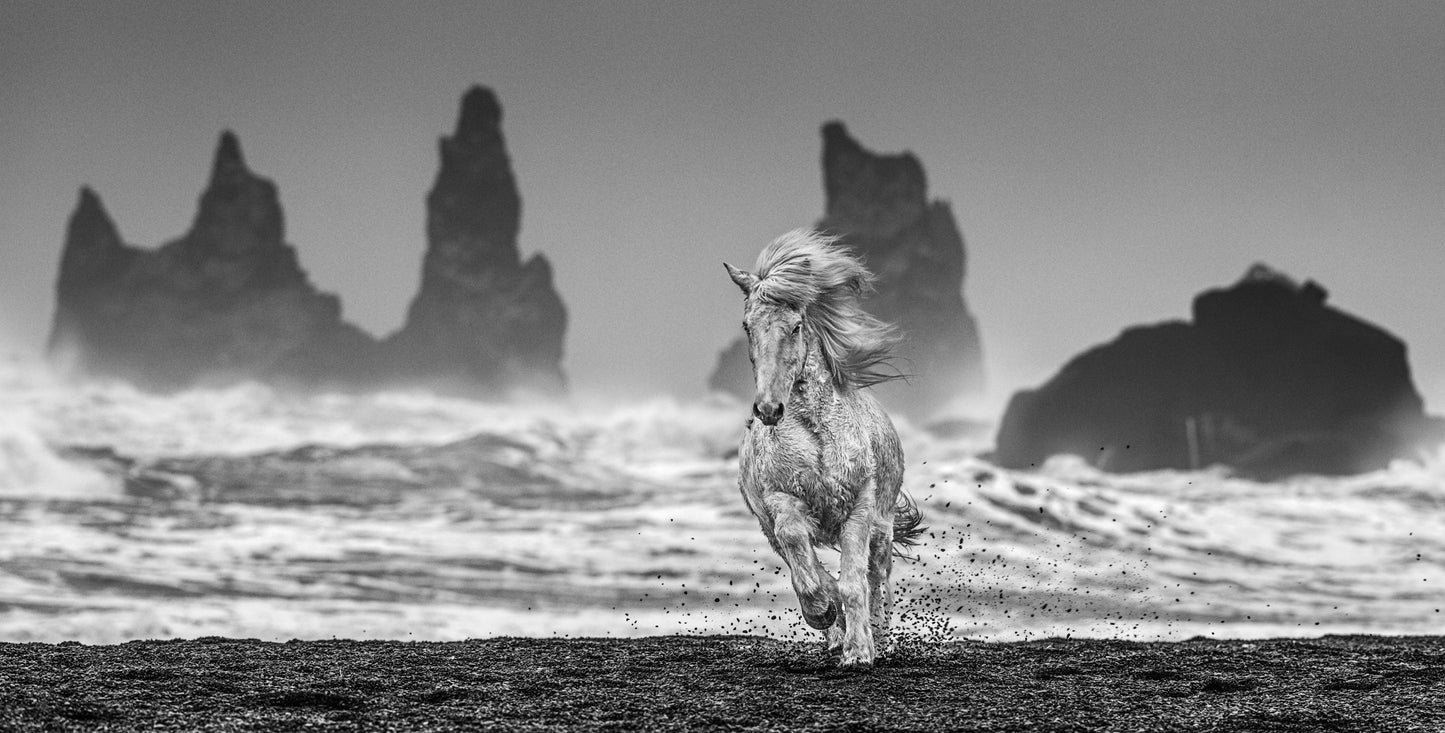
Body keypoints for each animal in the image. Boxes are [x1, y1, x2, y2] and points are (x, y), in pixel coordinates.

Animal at [728, 229, 919, 670]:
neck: (816, 434)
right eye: (747, 326)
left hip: (882, 526)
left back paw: (879, 637)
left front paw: (860, 650)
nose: (768, 409)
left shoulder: (859, 508)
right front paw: (825, 614)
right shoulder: (781, 503)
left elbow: (854, 583)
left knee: (877, 577)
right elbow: (811, 572)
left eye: (796, 326)